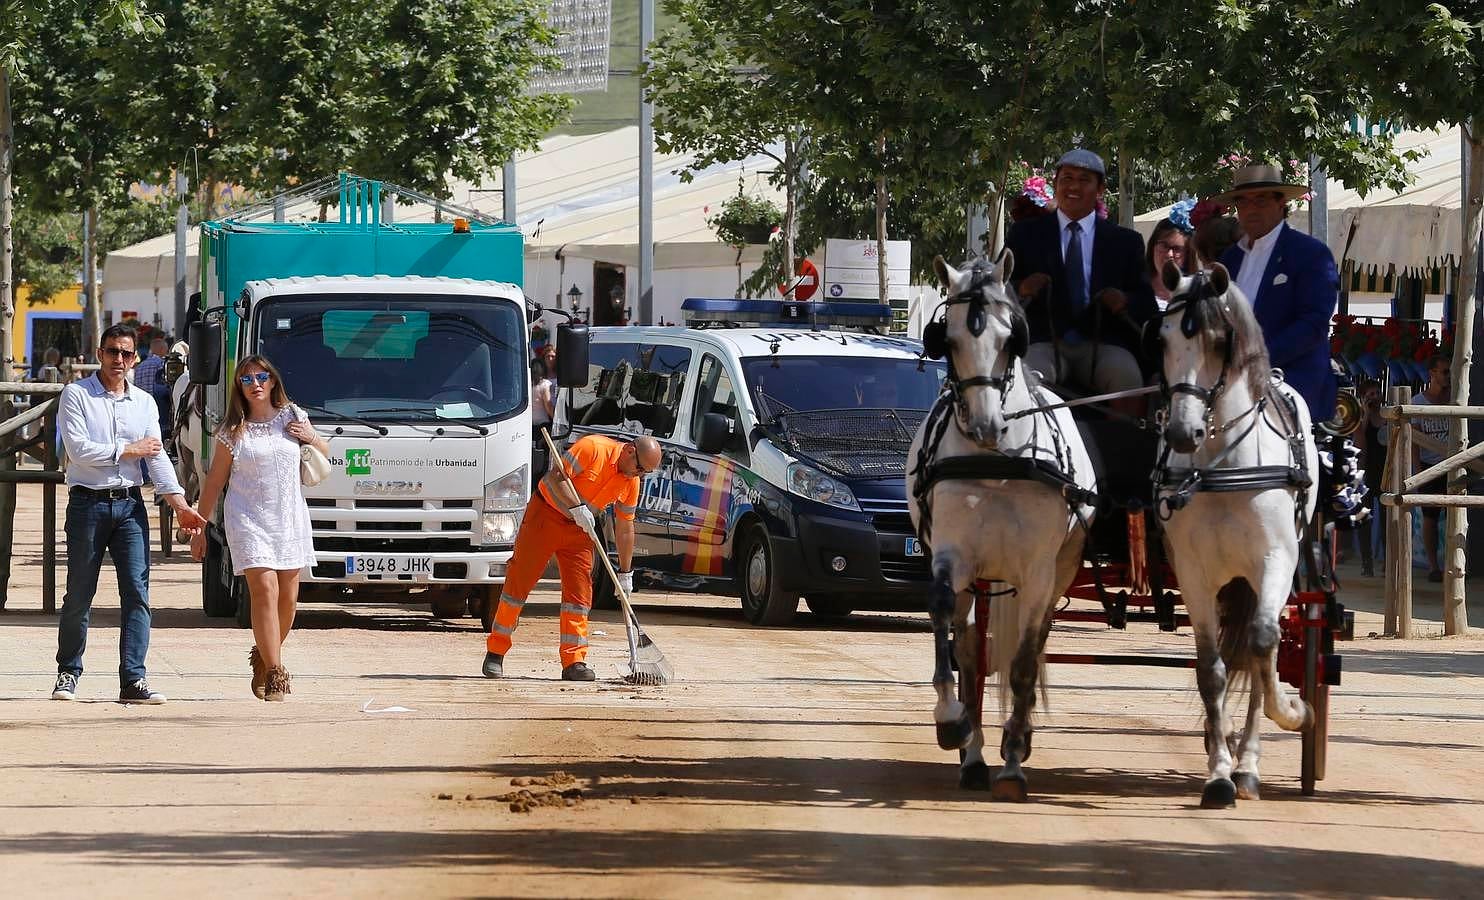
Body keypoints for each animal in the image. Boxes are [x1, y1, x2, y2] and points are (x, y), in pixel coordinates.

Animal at [896, 253, 1098, 801]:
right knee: (971, 652)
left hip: (1054, 573)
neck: (998, 461)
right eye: (948, 341)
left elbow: (1025, 662)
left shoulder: (1038, 573)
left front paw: (1014, 758)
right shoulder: (953, 556)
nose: (987, 426)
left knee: (1031, 644)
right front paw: (951, 722)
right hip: (982, 579)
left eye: (1012, 339)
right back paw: (972, 754)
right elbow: (947, 622)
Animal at [1151, 261, 1317, 813]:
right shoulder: (1194, 574)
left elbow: (1263, 645)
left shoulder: (1276, 562)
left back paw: (1250, 764)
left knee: (1256, 648)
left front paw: (1293, 711)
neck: (1224, 467)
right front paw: (1217, 774)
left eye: (1218, 340)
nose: (1182, 434)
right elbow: (1212, 670)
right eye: (1161, 338)